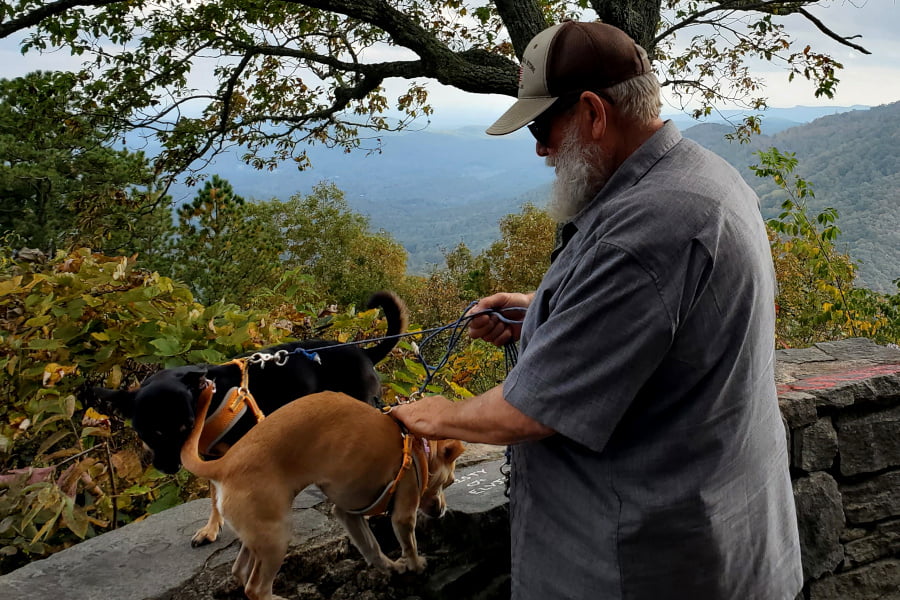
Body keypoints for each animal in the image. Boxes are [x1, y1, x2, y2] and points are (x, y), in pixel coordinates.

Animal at [181, 386, 464, 596]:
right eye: (449, 482)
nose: (441, 511)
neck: (417, 446)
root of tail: (225, 464)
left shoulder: (348, 514)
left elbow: (371, 547)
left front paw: (390, 567)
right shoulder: (404, 512)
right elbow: (409, 544)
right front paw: (416, 565)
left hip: (258, 533)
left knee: (239, 571)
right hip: (276, 535)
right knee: (256, 588)